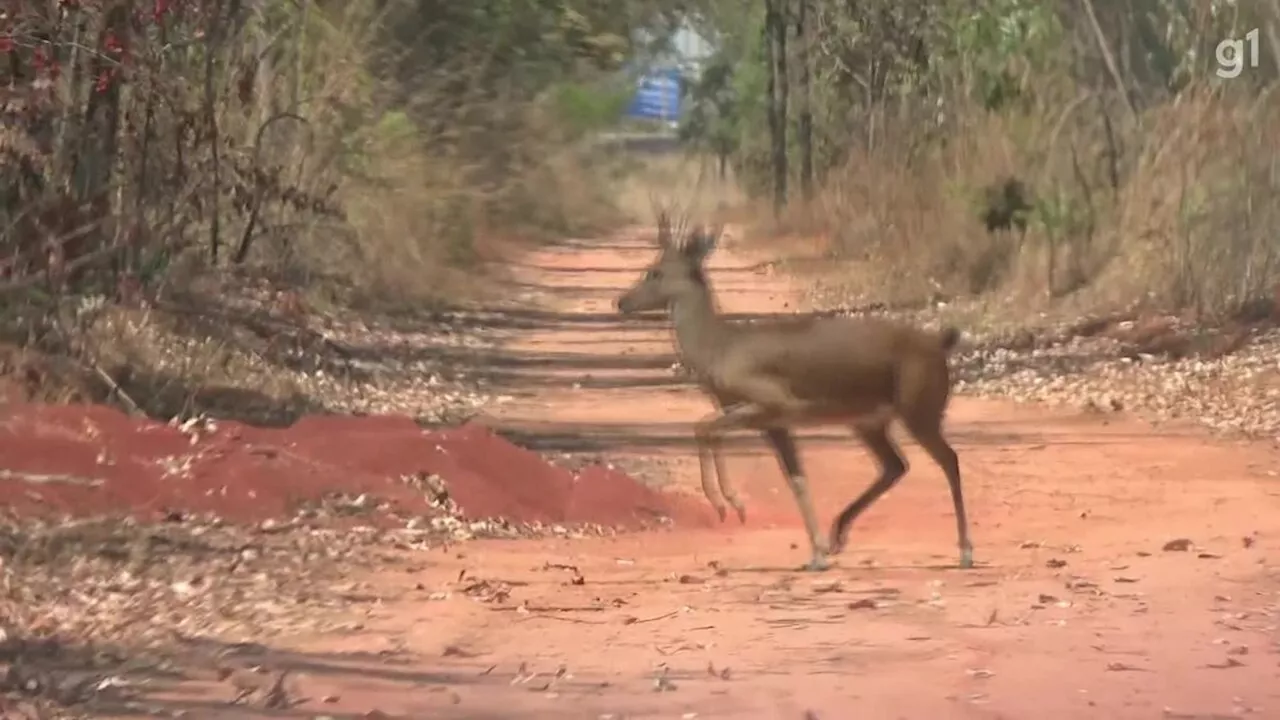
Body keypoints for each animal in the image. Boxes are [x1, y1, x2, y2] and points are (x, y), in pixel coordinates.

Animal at [614, 210, 972, 568]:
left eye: (655, 271)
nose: (622, 302)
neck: (719, 348)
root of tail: (939, 345)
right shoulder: (774, 424)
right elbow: (796, 478)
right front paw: (817, 554)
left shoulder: (775, 404)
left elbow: (704, 427)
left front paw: (730, 506)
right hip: (869, 422)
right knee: (895, 466)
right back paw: (837, 537)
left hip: (919, 411)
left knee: (949, 459)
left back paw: (966, 551)